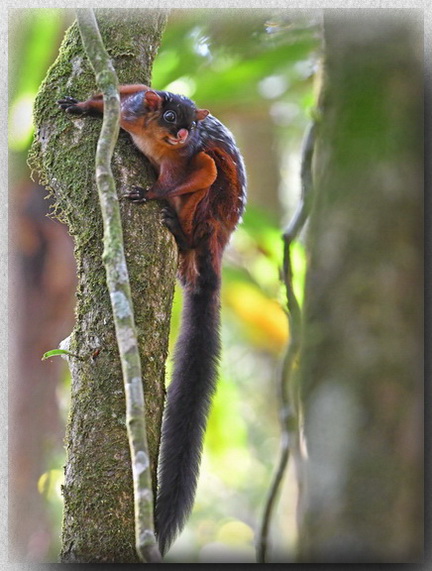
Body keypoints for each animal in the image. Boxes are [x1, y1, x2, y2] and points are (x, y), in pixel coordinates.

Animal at [57, 84, 246, 556]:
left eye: (189, 125)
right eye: (171, 117)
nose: (182, 134)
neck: (156, 141)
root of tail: (217, 244)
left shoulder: (188, 159)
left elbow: (203, 170)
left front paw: (152, 194)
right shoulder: (132, 104)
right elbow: (123, 95)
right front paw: (82, 106)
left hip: (211, 217)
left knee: (214, 178)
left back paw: (180, 231)